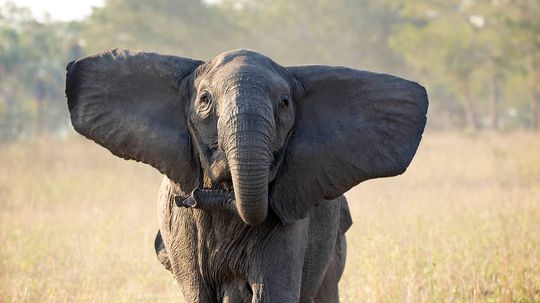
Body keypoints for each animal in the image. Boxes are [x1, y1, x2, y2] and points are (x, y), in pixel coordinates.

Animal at [65, 48, 428, 302]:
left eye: (284, 103)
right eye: (205, 100)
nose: (196, 197)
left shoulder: (289, 221)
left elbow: (273, 293)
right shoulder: (182, 230)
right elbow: (198, 295)